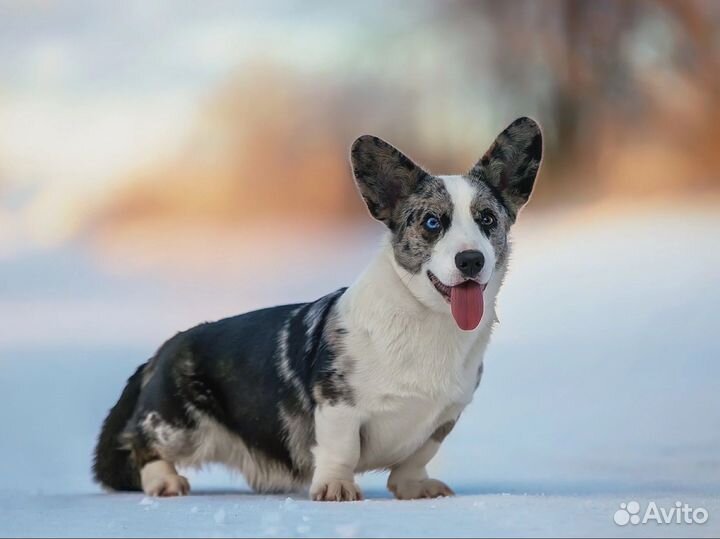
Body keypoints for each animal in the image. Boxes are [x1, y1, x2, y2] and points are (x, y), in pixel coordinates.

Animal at [93, 118, 544, 502]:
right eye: (433, 223)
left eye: (487, 219)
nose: (471, 260)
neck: (428, 323)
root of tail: (165, 348)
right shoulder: (337, 404)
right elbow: (340, 451)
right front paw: (336, 488)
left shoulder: (443, 417)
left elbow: (415, 459)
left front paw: (416, 488)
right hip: (180, 426)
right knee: (141, 444)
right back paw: (165, 482)